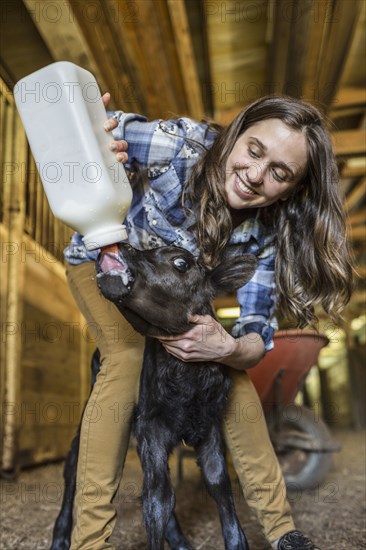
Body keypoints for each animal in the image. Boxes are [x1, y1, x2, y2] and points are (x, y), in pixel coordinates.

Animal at [51, 247, 258, 550]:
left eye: (181, 263)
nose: (123, 246)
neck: (187, 383)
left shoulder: (209, 427)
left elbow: (217, 483)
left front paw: (236, 541)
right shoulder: (152, 426)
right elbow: (158, 499)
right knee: (73, 470)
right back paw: (60, 537)